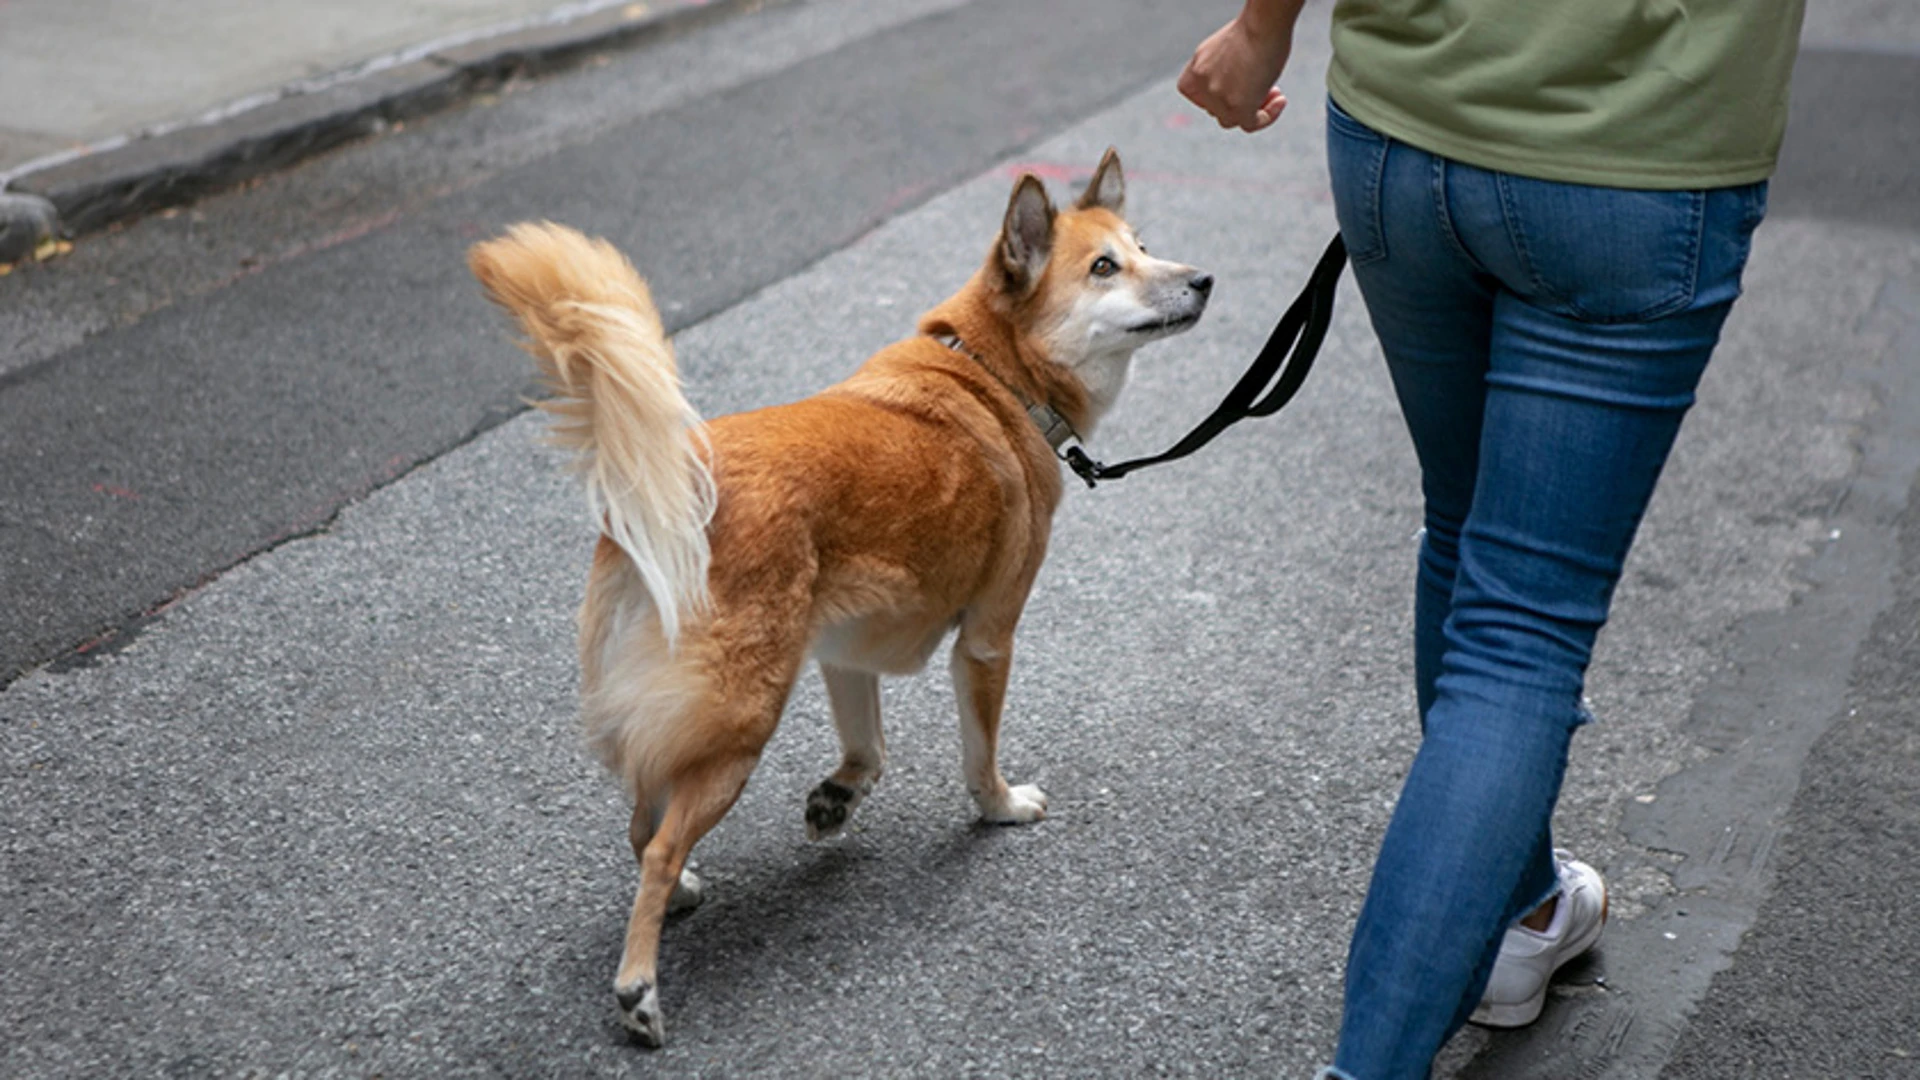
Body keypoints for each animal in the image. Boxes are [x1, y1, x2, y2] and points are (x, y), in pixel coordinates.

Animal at [466, 151, 1205, 1045]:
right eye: (1104, 268)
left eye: (1145, 247)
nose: (1203, 280)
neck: (992, 373)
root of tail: (680, 480)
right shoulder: (988, 639)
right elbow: (978, 756)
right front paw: (999, 807)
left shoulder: (847, 652)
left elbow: (870, 751)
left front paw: (835, 800)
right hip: (741, 720)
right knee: (657, 841)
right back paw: (639, 989)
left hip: (698, 708)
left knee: (645, 821)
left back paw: (680, 894)